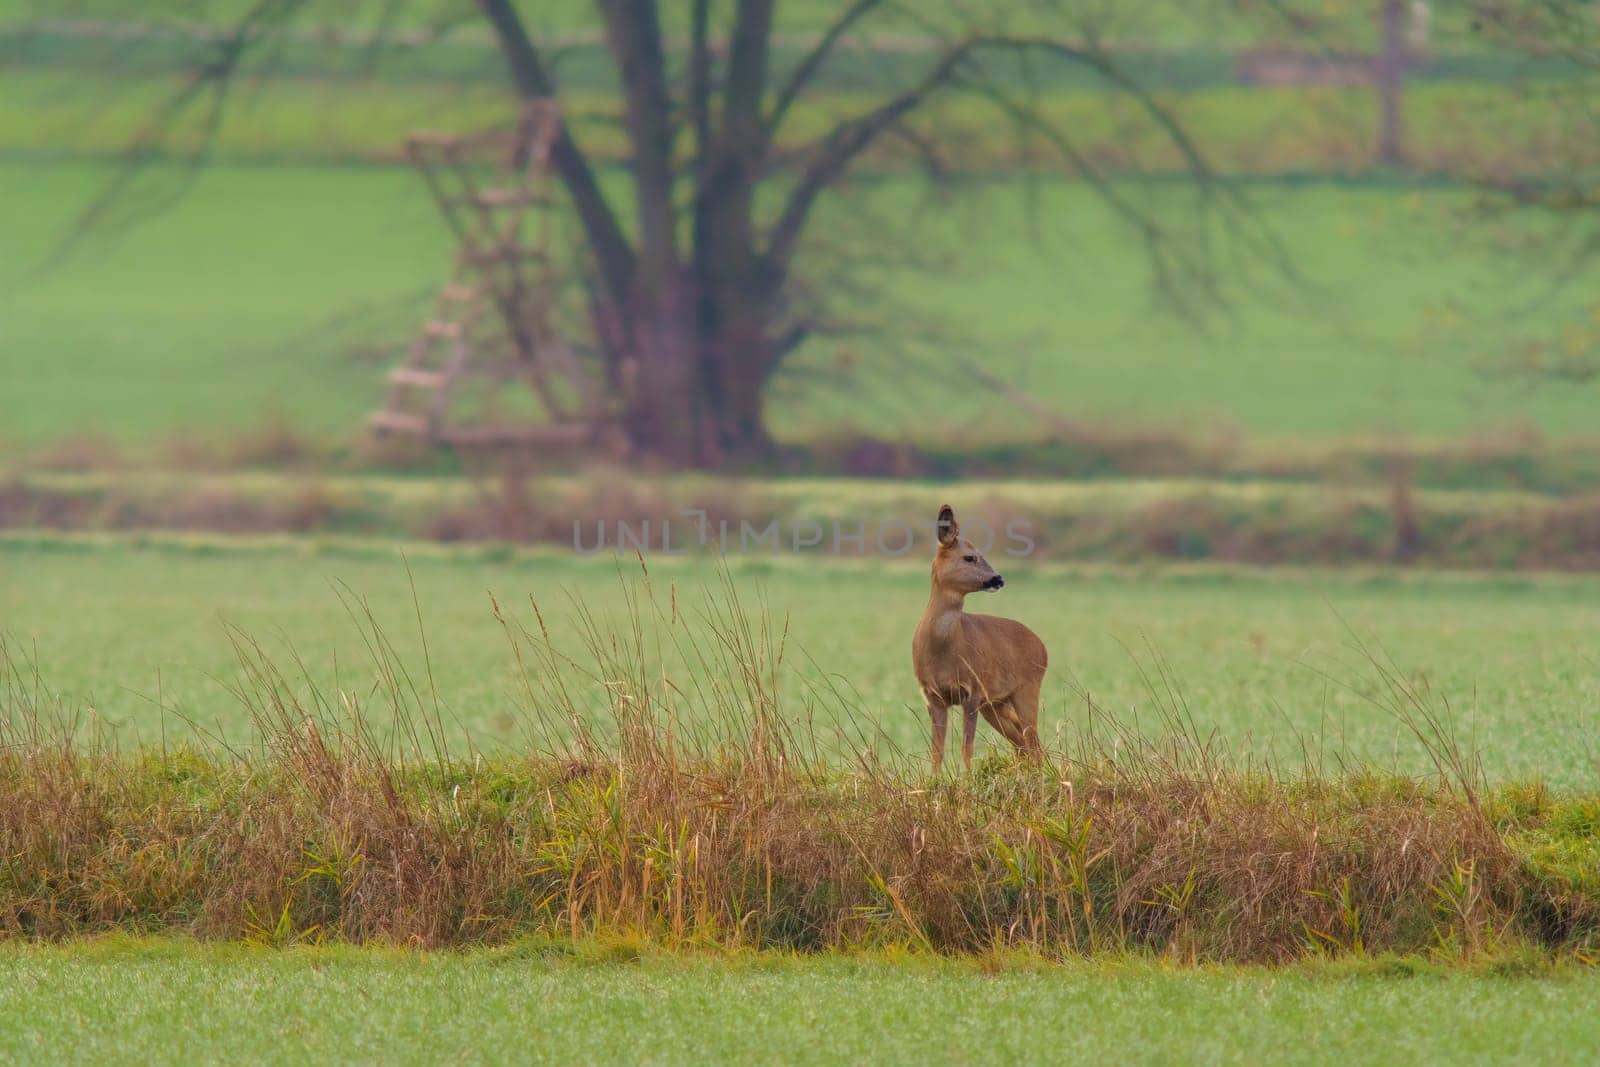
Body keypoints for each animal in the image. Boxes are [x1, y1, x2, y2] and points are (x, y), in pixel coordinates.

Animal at [915, 505, 1049, 771]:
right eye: (969, 557)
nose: (999, 579)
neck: (942, 649)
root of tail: (1042, 646)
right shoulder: (933, 696)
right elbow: (937, 750)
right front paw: (935, 777)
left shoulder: (973, 690)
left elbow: (967, 747)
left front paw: (967, 776)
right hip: (996, 703)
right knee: (1022, 743)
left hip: (1027, 689)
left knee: (1032, 741)